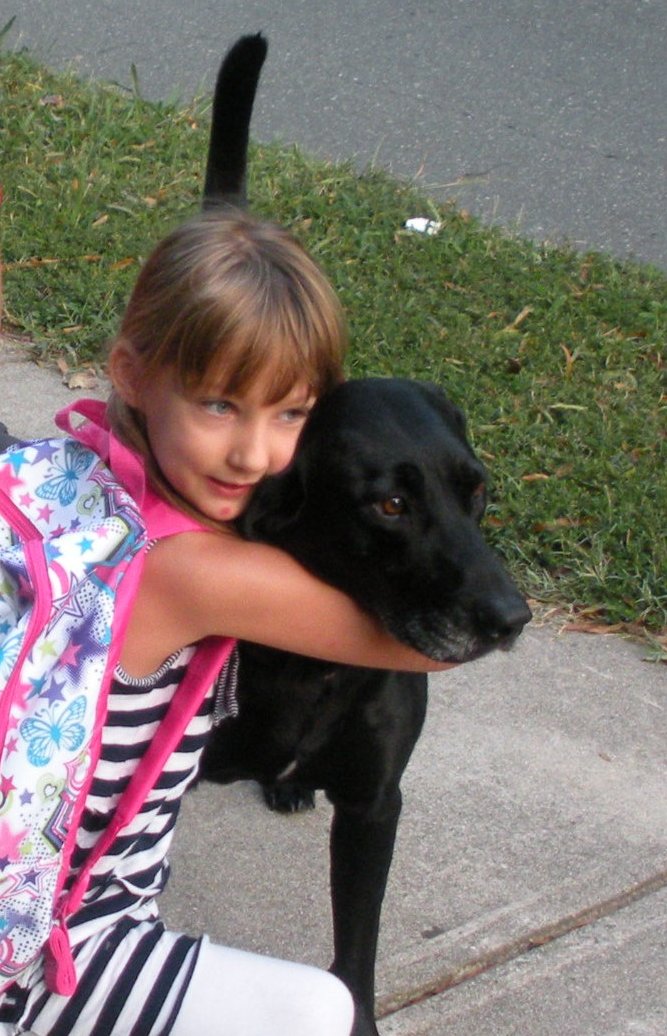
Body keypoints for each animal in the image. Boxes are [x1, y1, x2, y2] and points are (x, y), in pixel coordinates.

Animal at [198, 35, 530, 1036]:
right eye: (387, 507)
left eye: (477, 491)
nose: (511, 618)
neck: (311, 662)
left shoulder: (377, 805)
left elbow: (355, 954)